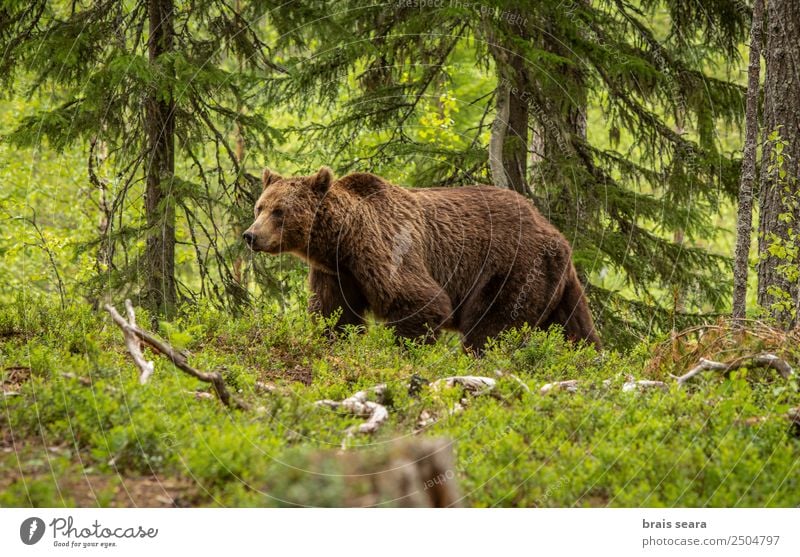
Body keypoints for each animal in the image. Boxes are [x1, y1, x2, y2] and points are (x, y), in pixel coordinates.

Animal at [244, 165, 600, 352]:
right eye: (259, 207)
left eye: (279, 212)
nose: (250, 235)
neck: (341, 241)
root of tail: (556, 234)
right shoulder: (337, 273)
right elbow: (334, 314)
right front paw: (332, 341)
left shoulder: (385, 250)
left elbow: (419, 302)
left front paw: (406, 353)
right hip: (555, 285)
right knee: (575, 328)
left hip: (511, 269)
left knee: (490, 327)